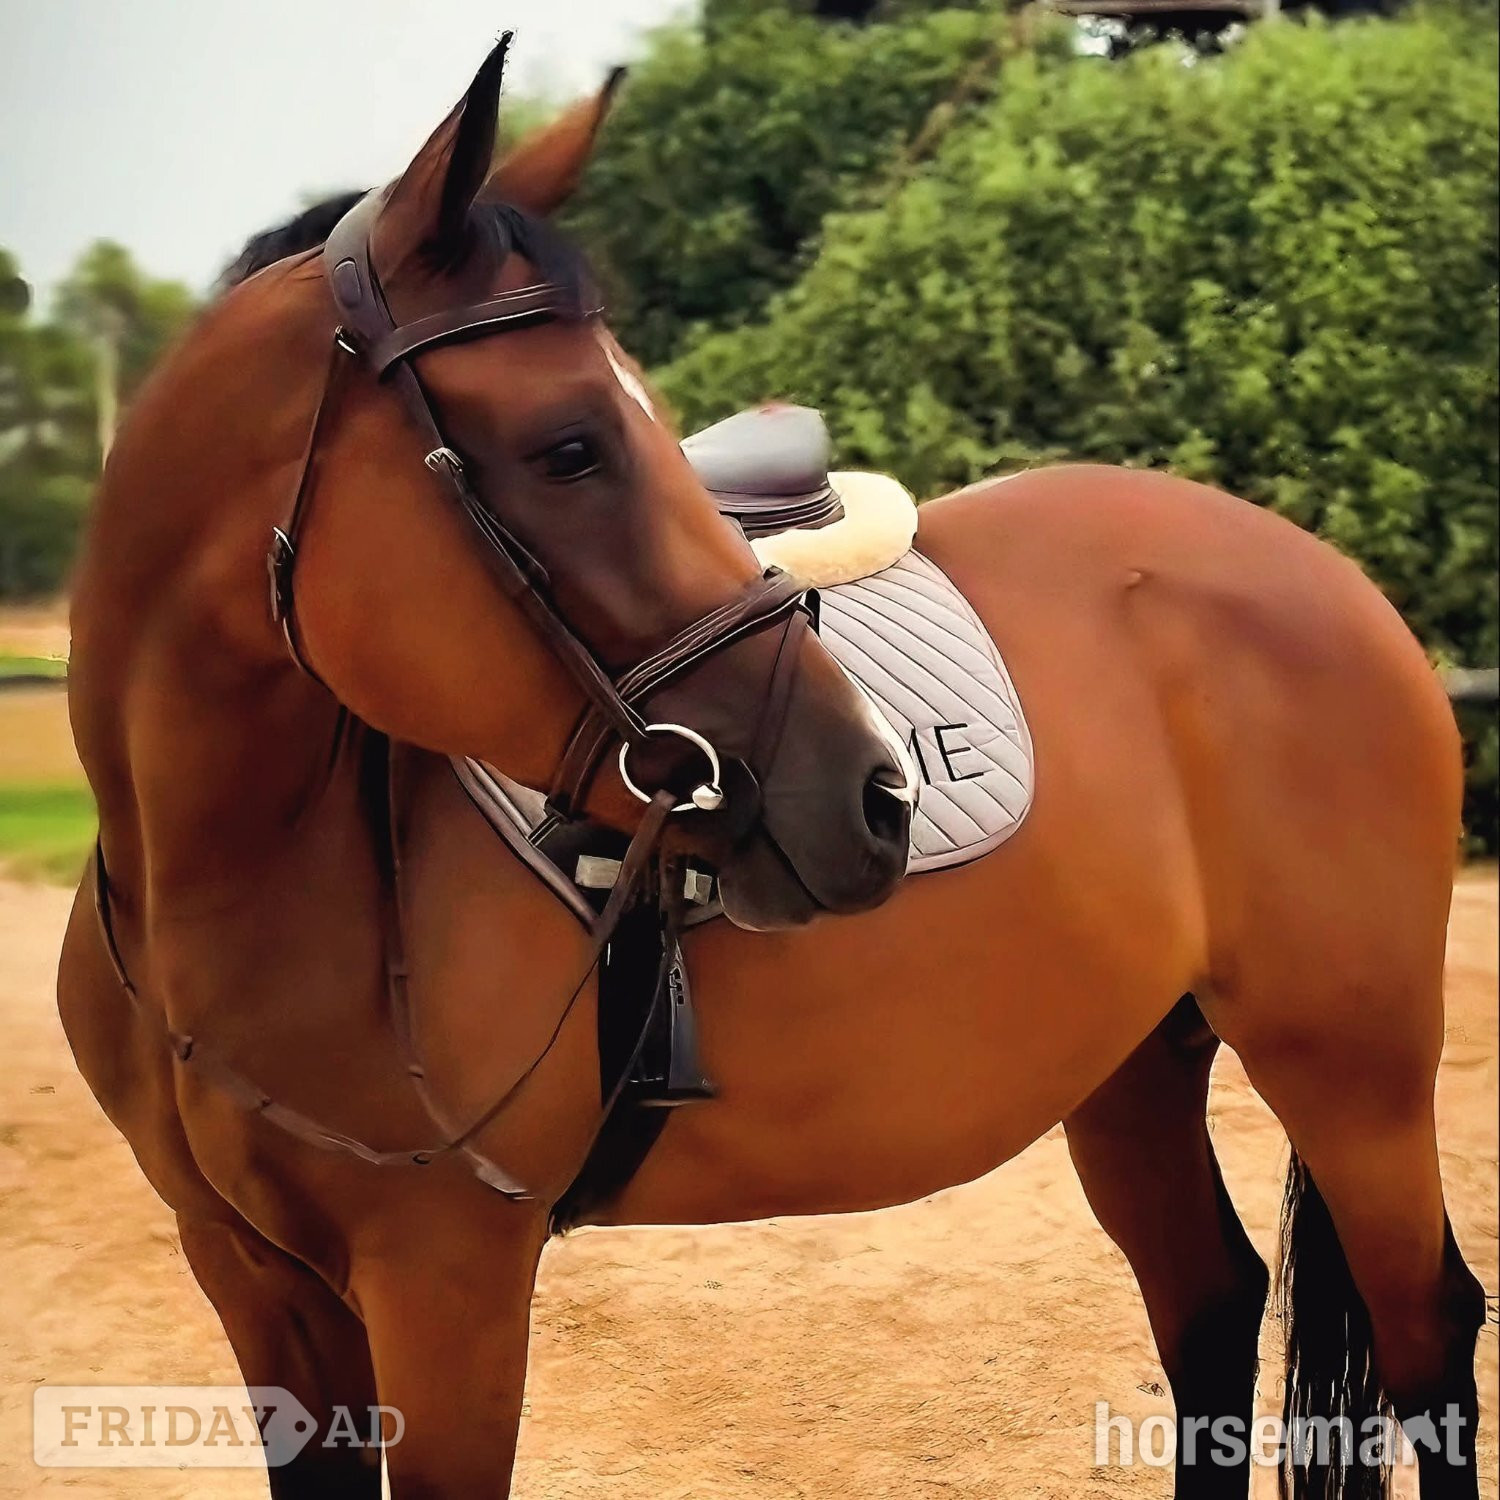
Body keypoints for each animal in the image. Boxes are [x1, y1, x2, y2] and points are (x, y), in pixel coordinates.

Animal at [57, 38, 1486, 1500]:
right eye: (572, 447)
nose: (870, 796)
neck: (240, 887)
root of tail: (1329, 576)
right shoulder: (257, 1286)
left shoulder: (444, 1281)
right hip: (1139, 1061)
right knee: (1209, 1303)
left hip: (1351, 1063)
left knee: (1427, 1328)